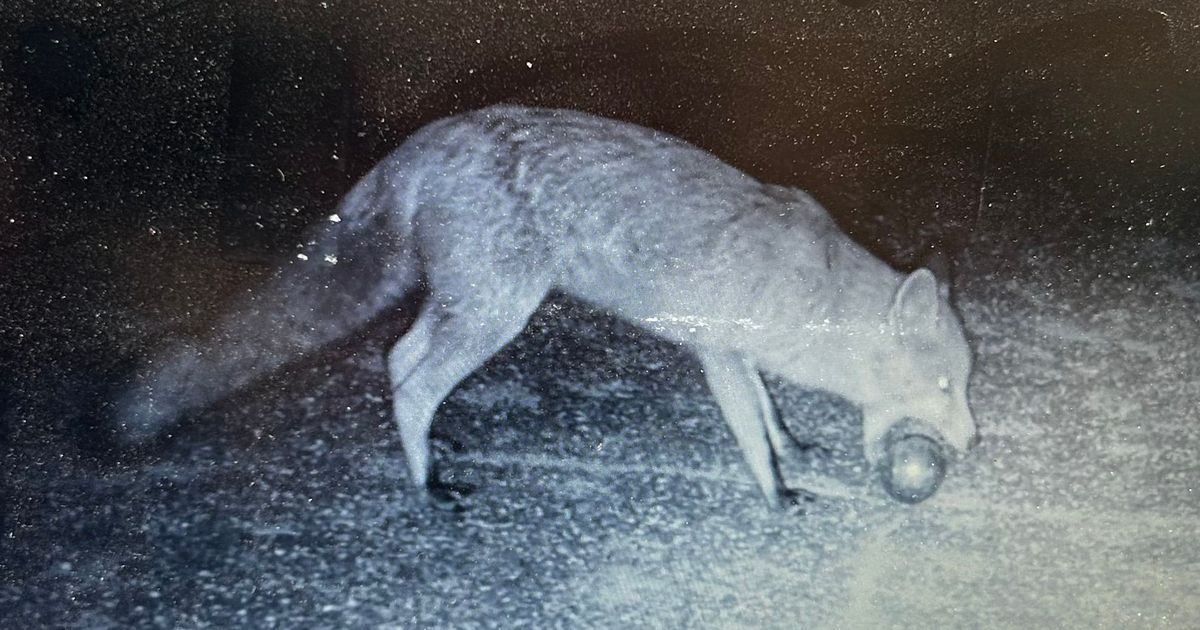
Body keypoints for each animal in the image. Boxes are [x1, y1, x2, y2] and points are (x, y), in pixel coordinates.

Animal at [115, 105, 978, 510]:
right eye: (942, 387)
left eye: (964, 386)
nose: (971, 444)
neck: (811, 288)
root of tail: (434, 136)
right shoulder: (719, 354)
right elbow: (749, 433)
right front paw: (778, 493)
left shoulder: (742, 352)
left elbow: (769, 413)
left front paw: (792, 446)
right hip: (499, 313)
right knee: (415, 381)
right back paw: (427, 486)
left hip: (470, 305)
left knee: (397, 359)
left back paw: (428, 455)